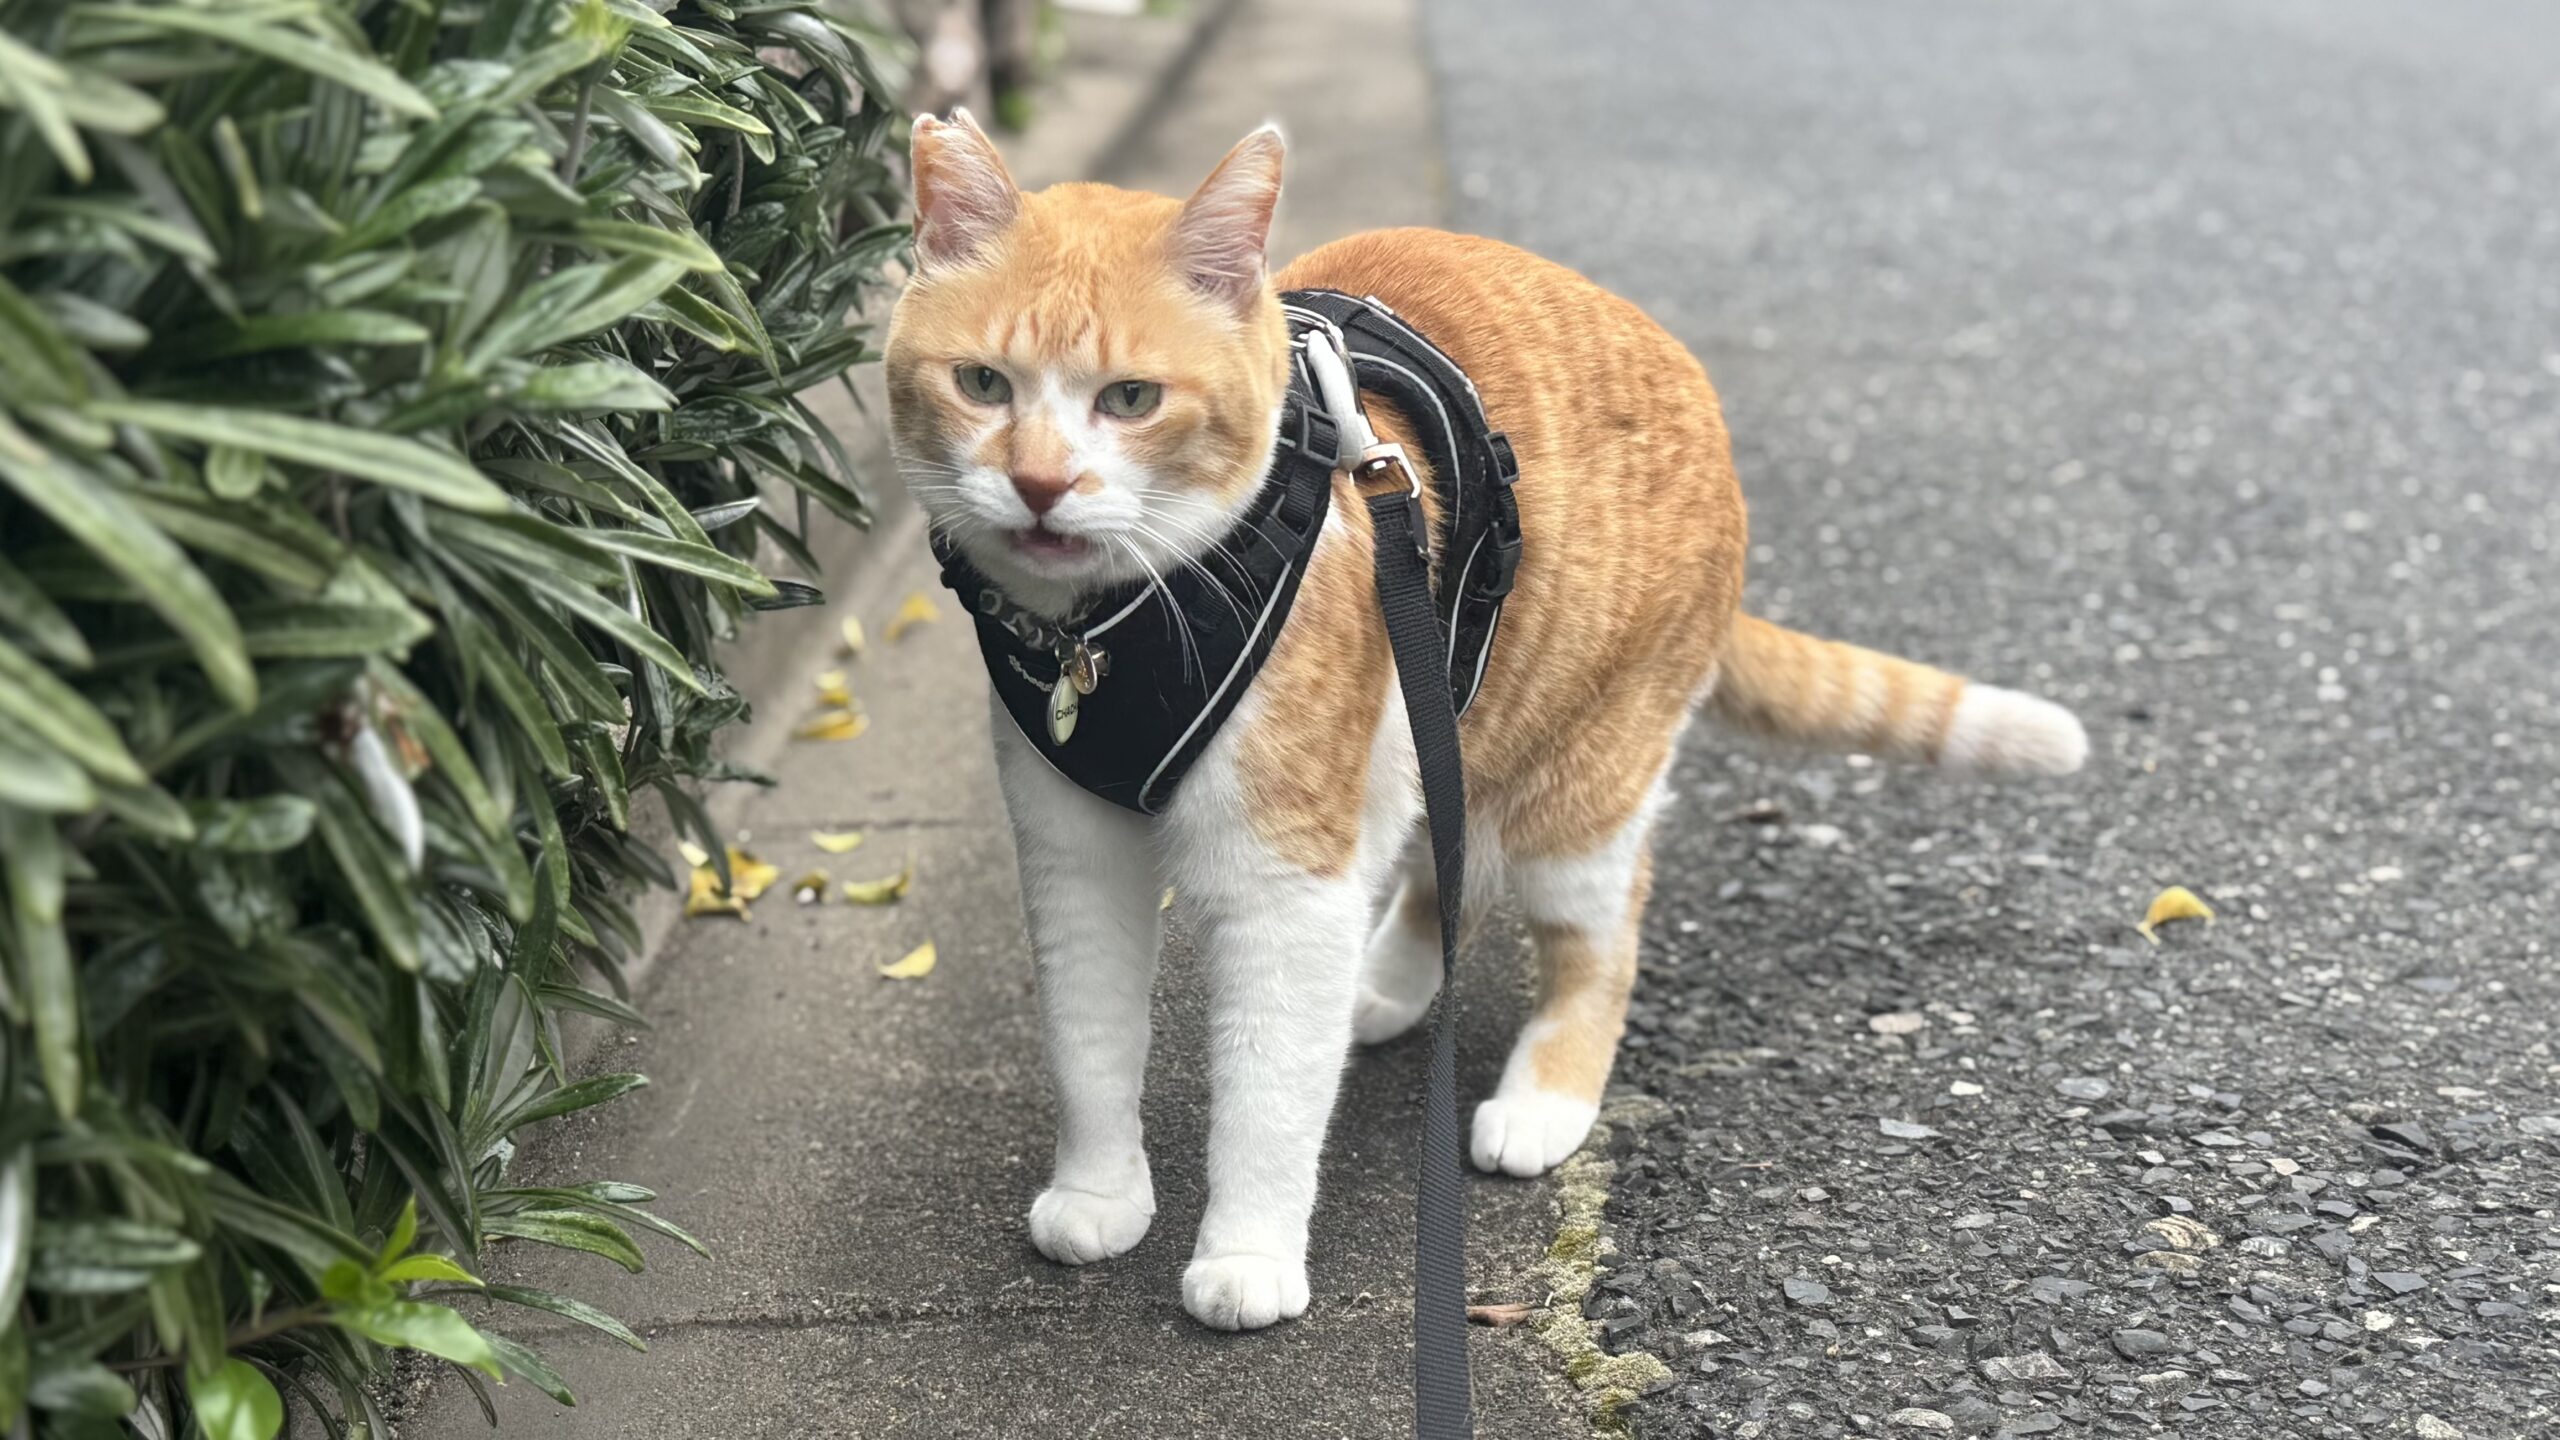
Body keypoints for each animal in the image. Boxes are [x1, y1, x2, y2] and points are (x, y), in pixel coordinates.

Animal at [883, 111, 2088, 1332]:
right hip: (1444, 723)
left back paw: (1543, 1094)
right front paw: (1098, 1193)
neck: (1112, 627)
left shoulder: (1286, 881)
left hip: (1577, 794)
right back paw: (1385, 986)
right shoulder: (1073, 857)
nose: (1040, 485)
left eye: (1130, 400)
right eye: (982, 383)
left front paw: (1249, 1253)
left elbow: (1267, 1090)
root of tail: (1692, 380)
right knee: (1439, 861)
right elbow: (1087, 1044)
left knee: (1601, 931)